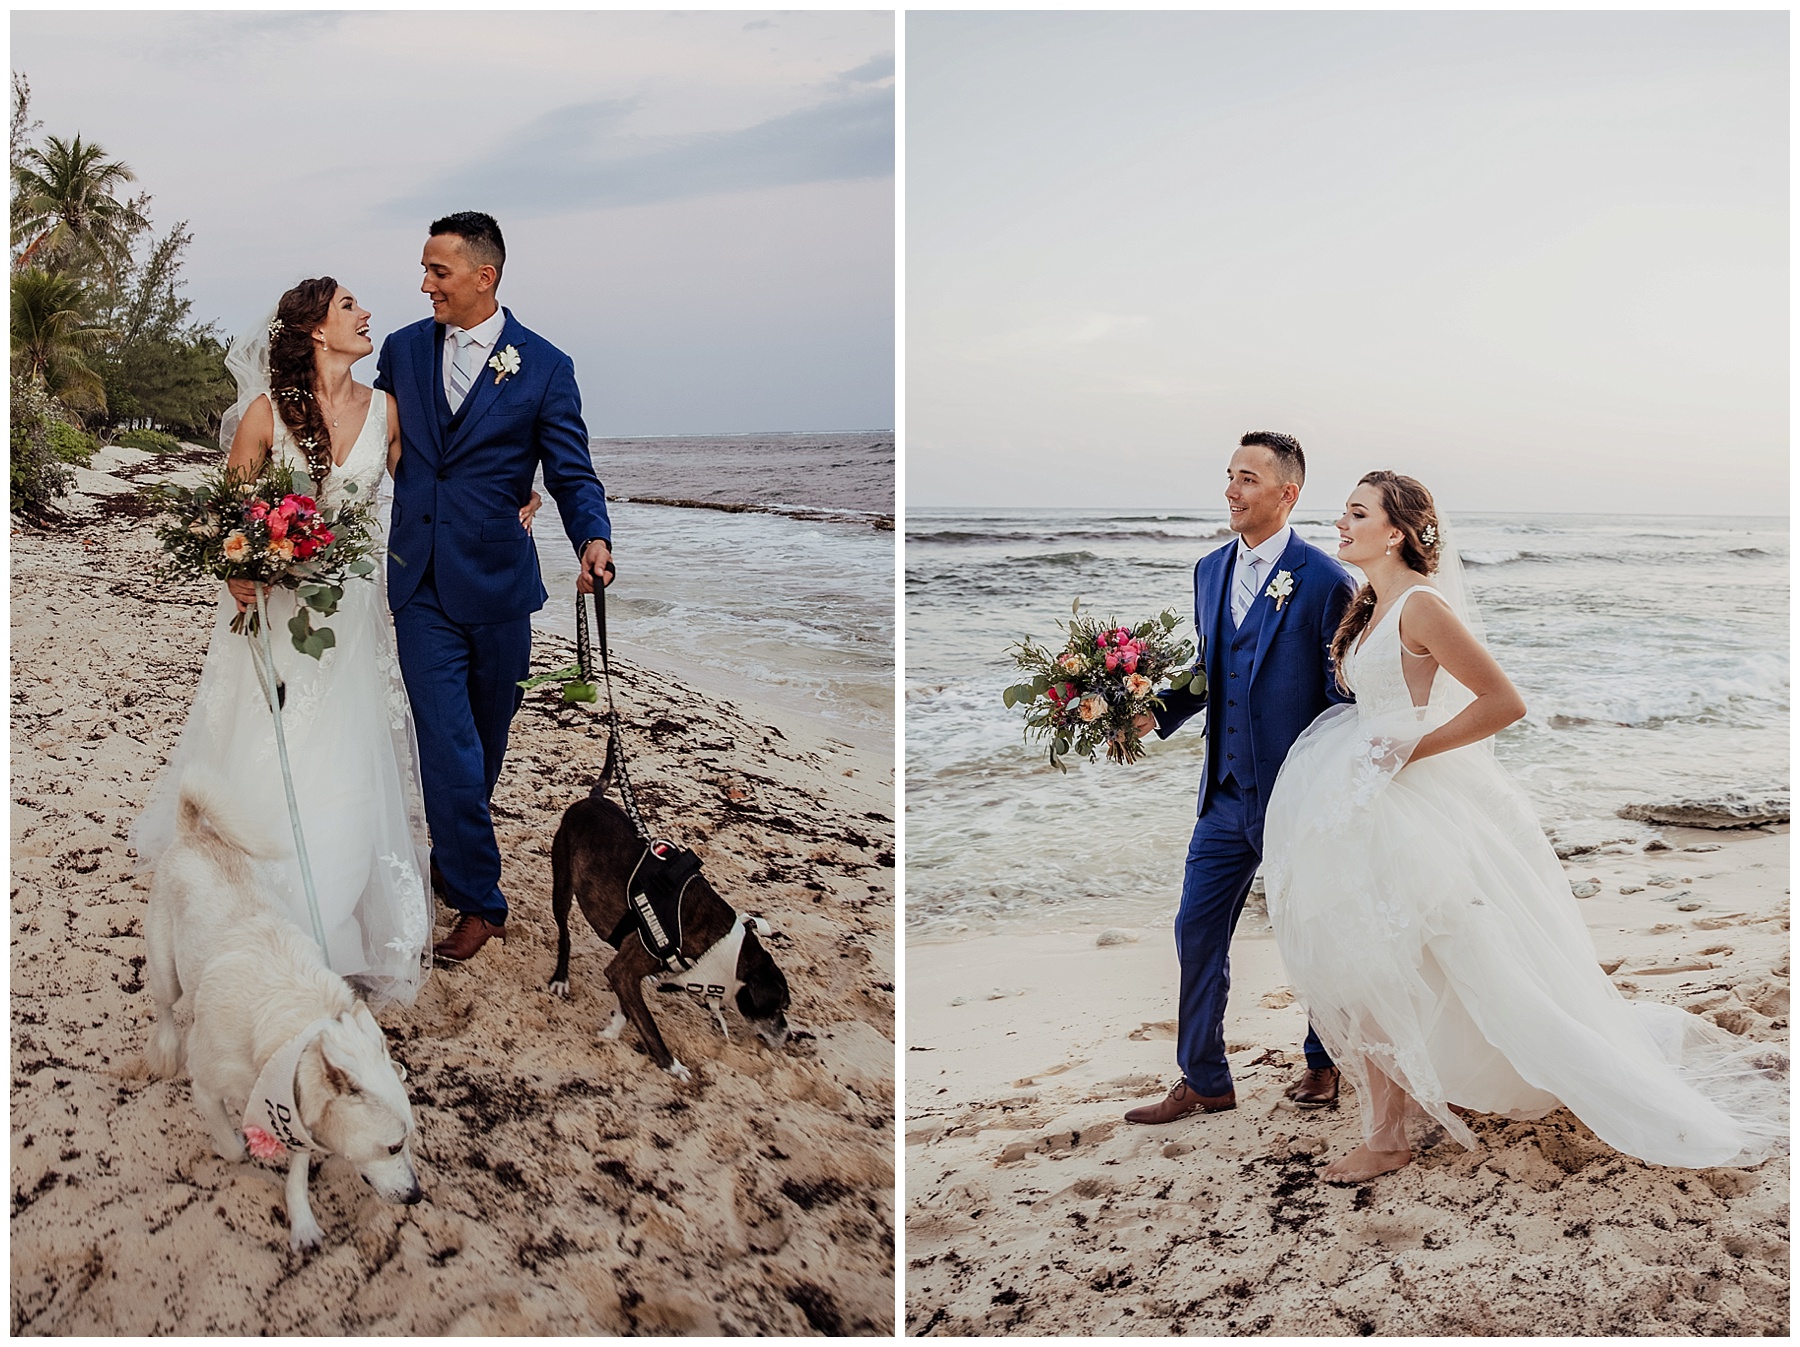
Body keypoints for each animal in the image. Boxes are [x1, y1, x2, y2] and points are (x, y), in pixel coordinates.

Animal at [144, 774, 421, 1260]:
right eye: (393, 1146)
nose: (417, 1195)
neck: (293, 1035)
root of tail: (195, 834)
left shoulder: (296, 1113)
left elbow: (296, 1177)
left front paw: (303, 1225)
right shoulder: (206, 1089)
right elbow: (232, 1148)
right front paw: (234, 1145)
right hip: (165, 971)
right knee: (164, 1008)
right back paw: (167, 1051)